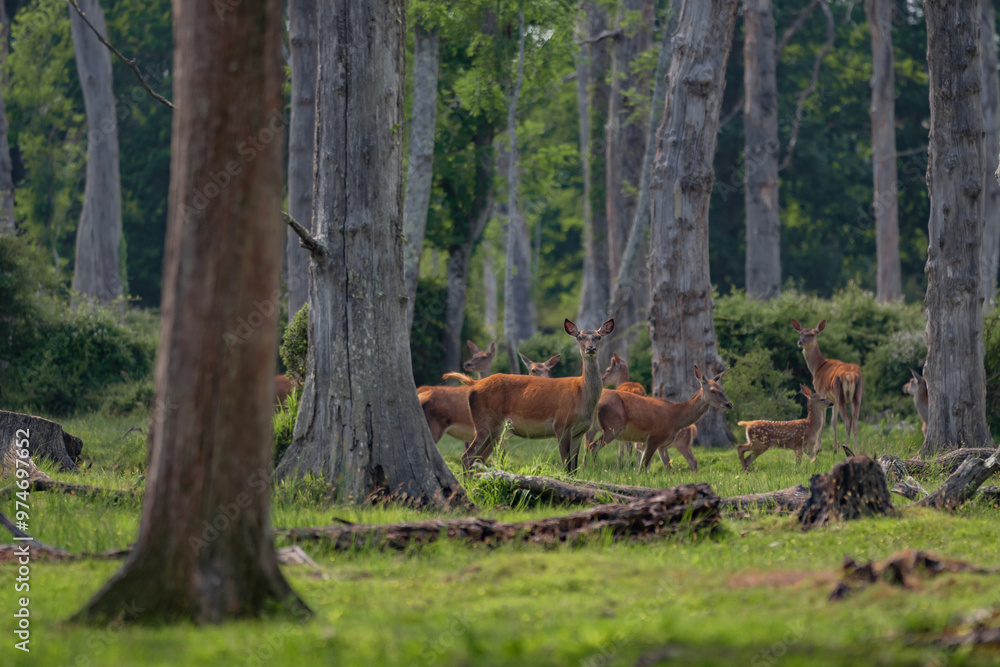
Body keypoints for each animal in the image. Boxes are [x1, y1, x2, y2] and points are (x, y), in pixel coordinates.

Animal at [446, 318, 614, 473]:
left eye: (598, 336)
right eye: (579, 337)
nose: (591, 348)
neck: (582, 396)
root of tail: (474, 383)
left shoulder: (580, 432)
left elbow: (573, 470)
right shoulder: (561, 424)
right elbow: (566, 467)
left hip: (494, 429)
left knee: (477, 459)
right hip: (485, 423)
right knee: (467, 457)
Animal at [585, 366, 732, 473]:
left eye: (722, 389)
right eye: (713, 390)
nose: (729, 404)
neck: (675, 418)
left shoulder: (660, 444)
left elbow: (667, 467)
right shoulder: (655, 437)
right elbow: (643, 467)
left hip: (593, 427)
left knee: (587, 445)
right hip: (614, 426)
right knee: (593, 446)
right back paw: (595, 470)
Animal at [791, 319, 863, 455]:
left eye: (812, 334)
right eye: (800, 333)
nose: (800, 342)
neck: (817, 368)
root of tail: (851, 376)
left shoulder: (822, 391)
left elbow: (823, 421)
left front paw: (818, 448)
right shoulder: (832, 399)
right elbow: (833, 422)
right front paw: (834, 448)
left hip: (840, 395)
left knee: (848, 421)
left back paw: (846, 447)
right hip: (857, 396)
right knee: (855, 420)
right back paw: (855, 449)